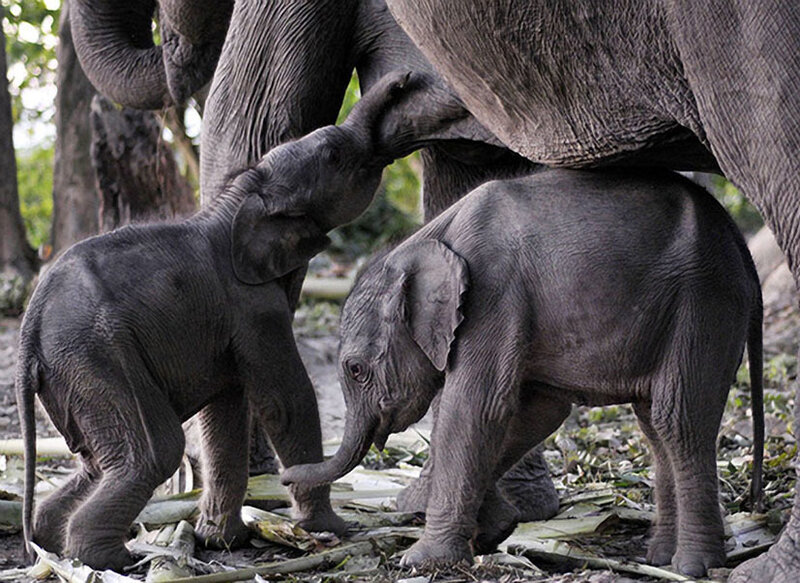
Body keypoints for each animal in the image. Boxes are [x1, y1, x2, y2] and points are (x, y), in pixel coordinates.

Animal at [281, 167, 765, 577]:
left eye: (356, 369)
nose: (284, 481)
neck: (427, 241)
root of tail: (737, 239)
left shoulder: (492, 296)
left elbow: (475, 408)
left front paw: (419, 560)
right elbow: (536, 411)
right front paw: (495, 530)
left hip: (703, 300)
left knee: (677, 419)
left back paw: (693, 567)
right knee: (654, 425)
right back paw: (659, 558)